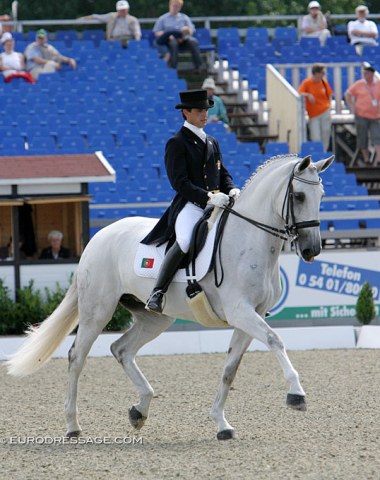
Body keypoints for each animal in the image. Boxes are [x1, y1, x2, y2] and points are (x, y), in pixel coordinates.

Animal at [5, 154, 332, 438]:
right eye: (299, 196)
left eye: (321, 195)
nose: (312, 250)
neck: (248, 240)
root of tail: (98, 236)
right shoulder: (240, 311)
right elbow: (276, 340)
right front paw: (296, 394)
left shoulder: (250, 316)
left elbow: (230, 370)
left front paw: (222, 424)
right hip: (98, 310)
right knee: (77, 357)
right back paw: (73, 425)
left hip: (154, 318)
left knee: (121, 349)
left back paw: (139, 410)